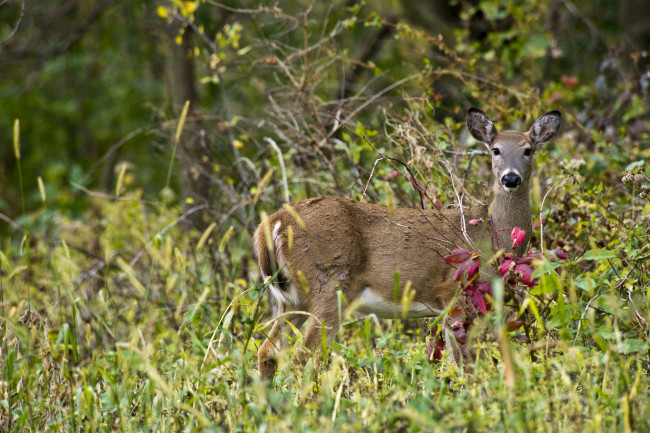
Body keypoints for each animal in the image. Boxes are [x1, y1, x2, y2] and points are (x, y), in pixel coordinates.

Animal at [256, 107, 560, 378]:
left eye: (528, 149)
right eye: (495, 149)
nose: (511, 178)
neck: (492, 235)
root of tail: (273, 223)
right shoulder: (453, 291)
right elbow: (464, 363)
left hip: (292, 298)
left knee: (267, 351)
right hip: (331, 284)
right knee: (303, 355)